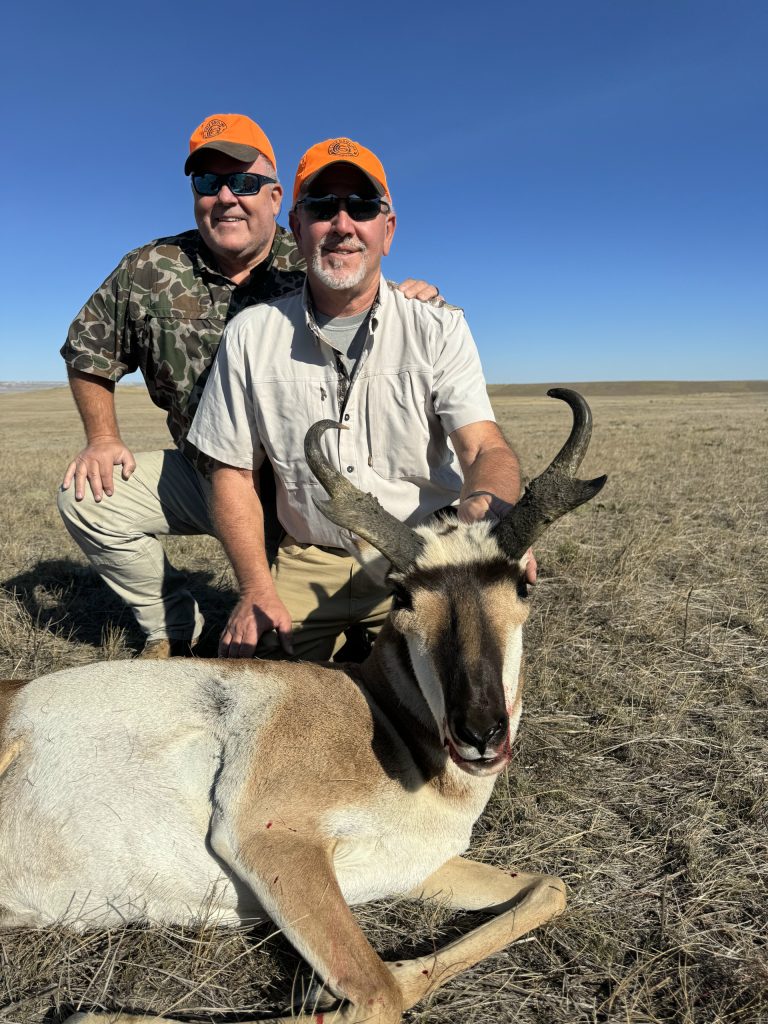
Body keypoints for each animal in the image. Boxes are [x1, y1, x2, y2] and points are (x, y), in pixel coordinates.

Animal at [0, 389, 606, 1024]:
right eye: (403, 595)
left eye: (522, 586)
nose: (480, 733)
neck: (381, 719)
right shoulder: (270, 839)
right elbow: (377, 994)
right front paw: (95, 1013)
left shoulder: (411, 867)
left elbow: (549, 889)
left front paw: (327, 991)